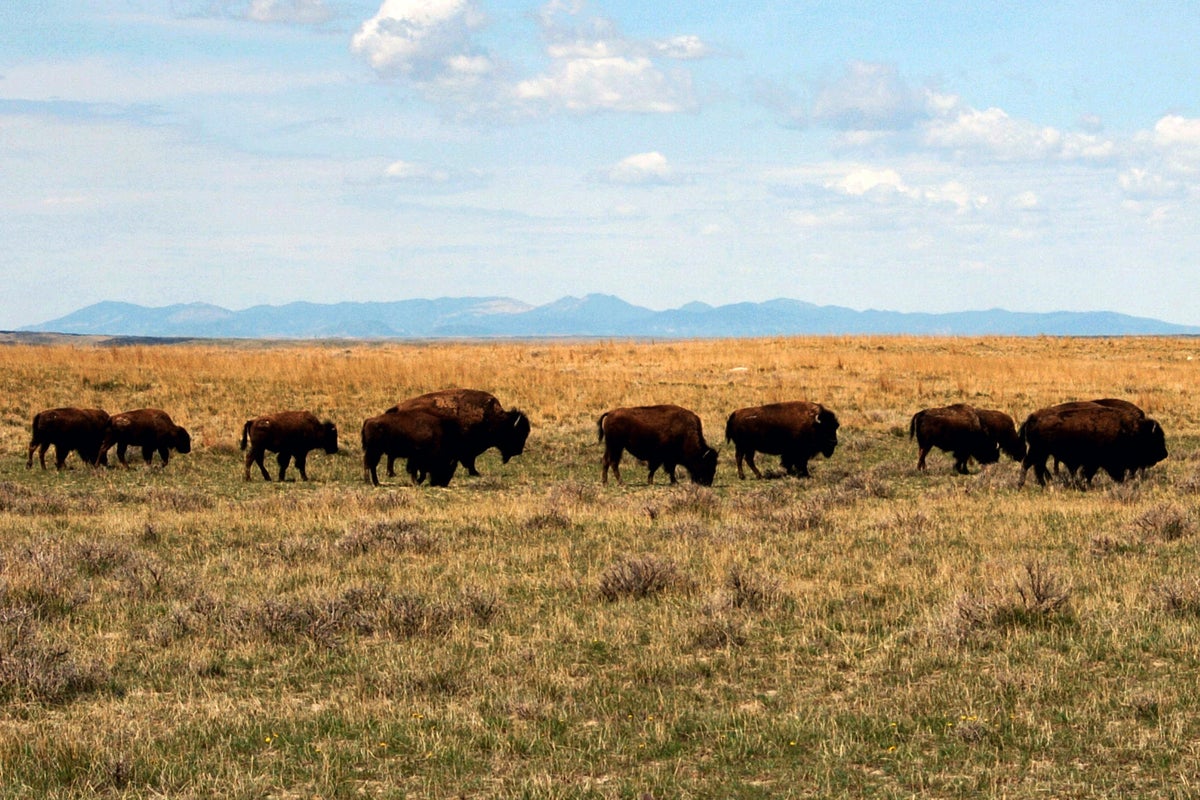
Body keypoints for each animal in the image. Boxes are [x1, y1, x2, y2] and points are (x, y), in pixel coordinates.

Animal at [388, 391, 530, 479]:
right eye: (516, 434)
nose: (519, 451)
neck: (491, 417)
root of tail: (398, 408)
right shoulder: (468, 449)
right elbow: (470, 461)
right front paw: (475, 473)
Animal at [1017, 400, 1166, 489]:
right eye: (1155, 439)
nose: (1164, 454)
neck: (1131, 431)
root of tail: (1032, 418)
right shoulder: (1097, 462)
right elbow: (1089, 473)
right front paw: (1086, 486)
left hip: (1042, 452)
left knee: (1037, 466)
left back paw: (1043, 485)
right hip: (1038, 450)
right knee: (1028, 464)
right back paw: (1022, 485)